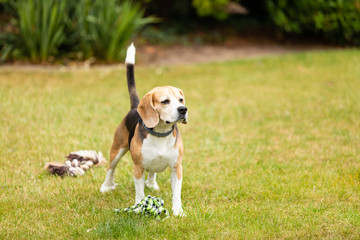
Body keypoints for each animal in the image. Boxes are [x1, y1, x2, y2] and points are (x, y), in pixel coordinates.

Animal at [100, 44, 187, 217]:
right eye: (165, 101)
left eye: (181, 100)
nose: (183, 109)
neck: (160, 134)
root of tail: (135, 107)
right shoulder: (138, 168)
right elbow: (139, 193)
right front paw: (140, 207)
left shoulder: (176, 167)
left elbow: (176, 193)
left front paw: (178, 211)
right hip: (117, 150)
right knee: (110, 169)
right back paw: (106, 186)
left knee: (152, 171)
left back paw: (152, 184)